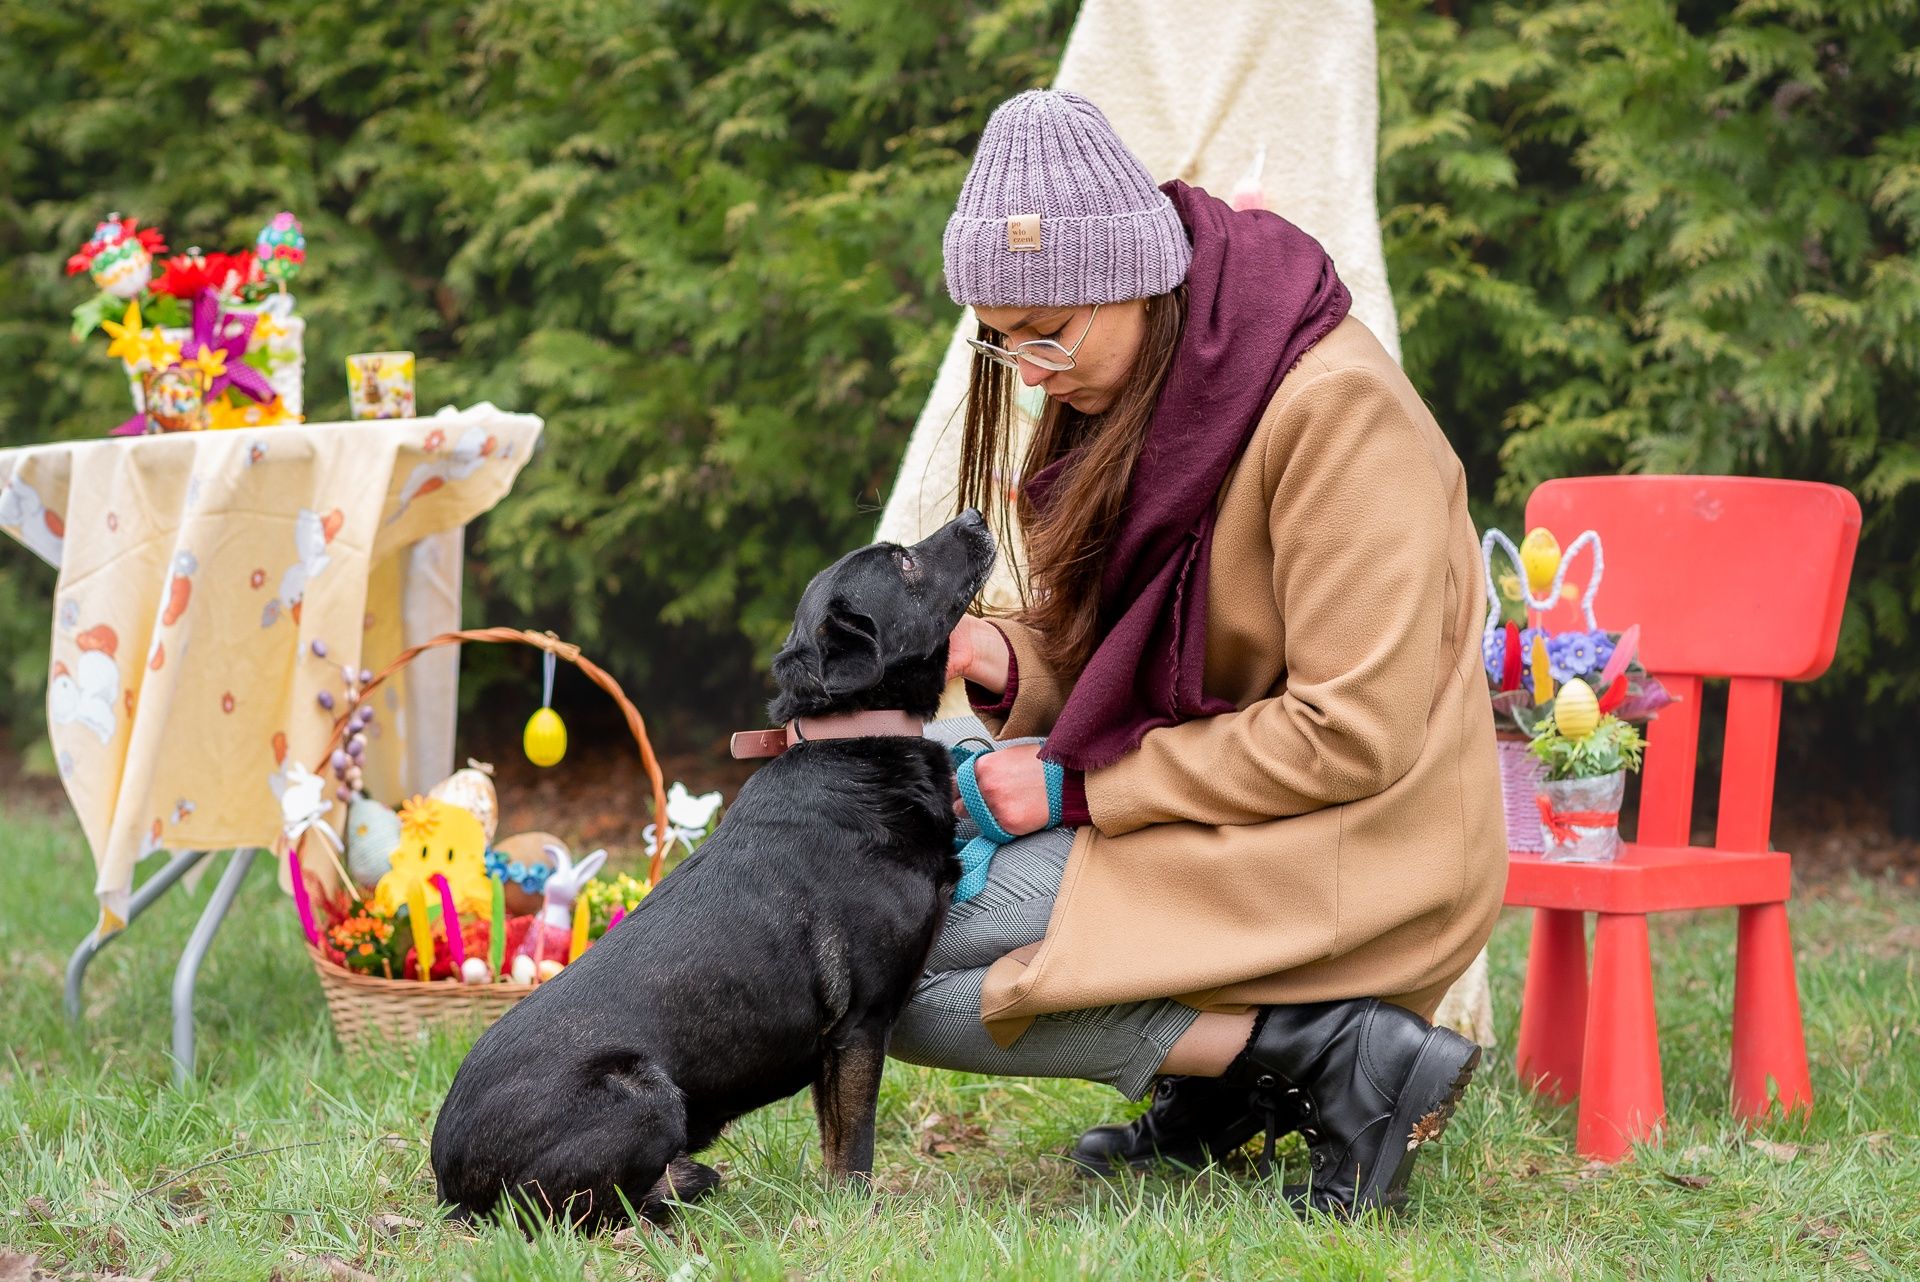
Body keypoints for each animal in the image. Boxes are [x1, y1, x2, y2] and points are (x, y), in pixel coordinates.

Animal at [435, 506, 998, 1228]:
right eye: (902, 561)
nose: (975, 515)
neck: (852, 742)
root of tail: (449, 1181)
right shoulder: (861, 1025)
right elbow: (854, 1150)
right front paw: (857, 1218)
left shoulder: (838, 1046)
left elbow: (832, 1139)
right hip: (646, 1097)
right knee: (572, 1212)